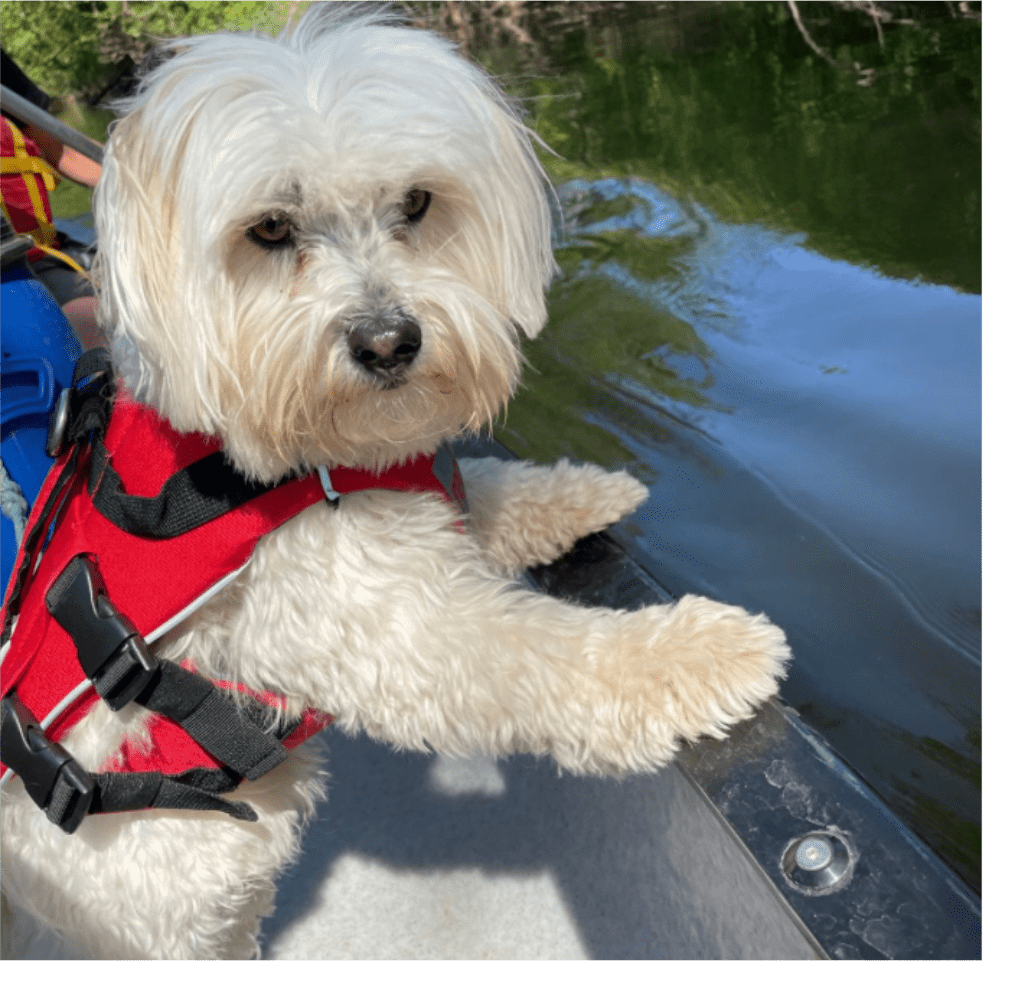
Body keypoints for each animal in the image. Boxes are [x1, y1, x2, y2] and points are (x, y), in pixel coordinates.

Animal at [0, 1, 786, 962]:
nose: (388, 341)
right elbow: (541, 655)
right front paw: (705, 652)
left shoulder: (411, 498)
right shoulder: (382, 623)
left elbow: (485, 489)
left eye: (416, 203)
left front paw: (587, 492)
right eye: (270, 229)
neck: (295, 457)